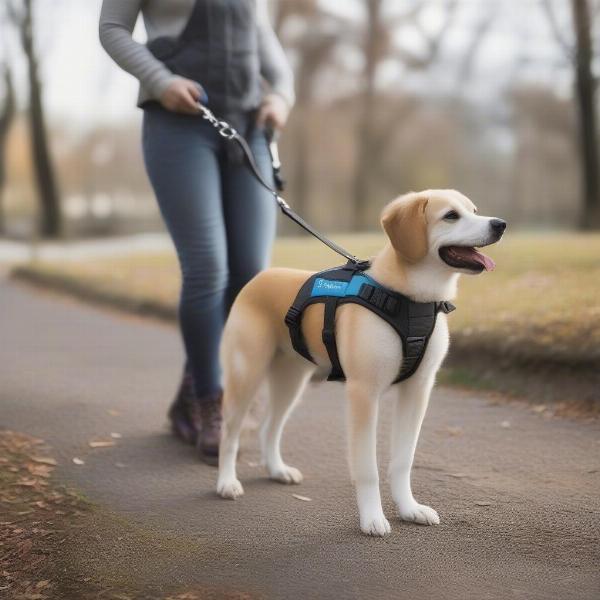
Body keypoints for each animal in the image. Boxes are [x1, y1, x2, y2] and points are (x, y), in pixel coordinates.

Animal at [216, 190, 506, 536]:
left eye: (474, 210)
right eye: (451, 216)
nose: (500, 224)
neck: (411, 300)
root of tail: (261, 277)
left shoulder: (417, 391)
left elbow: (403, 461)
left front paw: (410, 509)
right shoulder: (363, 394)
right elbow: (368, 469)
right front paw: (372, 518)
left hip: (291, 380)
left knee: (269, 427)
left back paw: (277, 470)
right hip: (245, 375)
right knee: (229, 433)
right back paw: (226, 483)